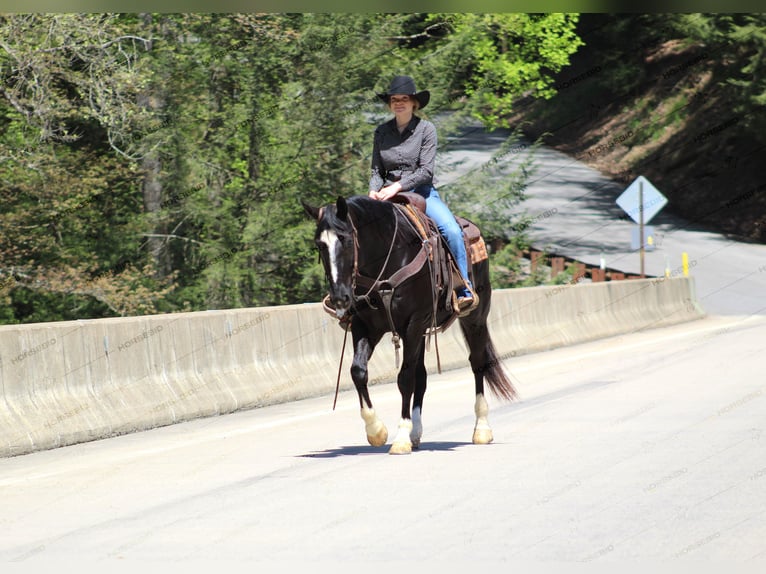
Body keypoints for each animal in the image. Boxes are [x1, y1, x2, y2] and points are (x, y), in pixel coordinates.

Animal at [304, 196, 520, 456]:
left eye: (344, 239)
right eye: (320, 244)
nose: (339, 298)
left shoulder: (413, 323)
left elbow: (405, 378)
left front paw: (401, 439)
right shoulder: (365, 326)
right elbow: (358, 372)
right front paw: (376, 431)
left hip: (474, 318)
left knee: (478, 364)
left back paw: (481, 429)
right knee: (422, 375)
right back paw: (417, 433)